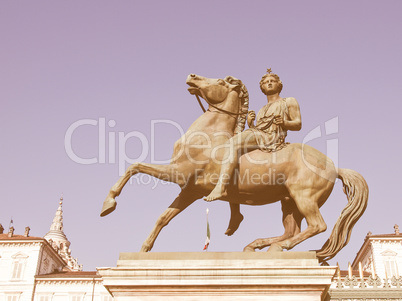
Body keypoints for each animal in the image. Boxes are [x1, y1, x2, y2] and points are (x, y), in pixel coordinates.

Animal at [100, 72, 368, 262]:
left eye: (220, 80)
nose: (192, 75)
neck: (207, 136)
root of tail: (335, 167)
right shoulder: (190, 190)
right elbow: (163, 217)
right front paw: (143, 249)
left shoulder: (178, 173)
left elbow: (135, 166)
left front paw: (108, 204)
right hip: (289, 202)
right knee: (292, 229)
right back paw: (257, 245)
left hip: (304, 197)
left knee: (317, 226)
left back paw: (275, 247)